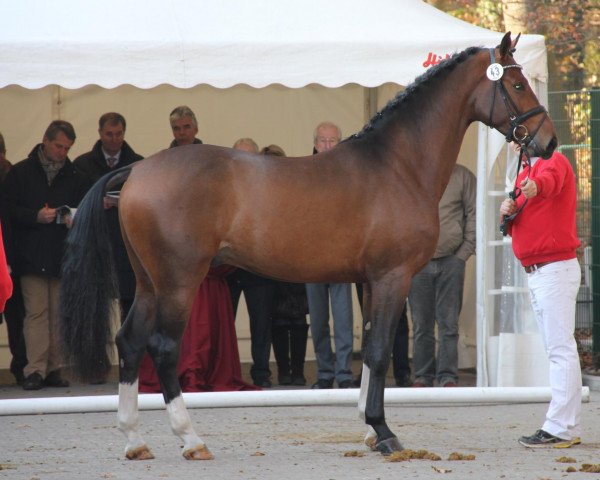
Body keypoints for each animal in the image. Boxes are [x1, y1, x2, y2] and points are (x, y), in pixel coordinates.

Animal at [58, 33, 556, 462]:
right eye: (516, 83)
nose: (548, 142)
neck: (397, 165)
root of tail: (137, 171)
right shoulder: (392, 277)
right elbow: (379, 351)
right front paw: (384, 432)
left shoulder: (369, 282)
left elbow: (370, 348)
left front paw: (367, 428)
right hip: (179, 282)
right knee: (162, 347)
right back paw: (191, 439)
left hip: (148, 283)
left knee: (129, 342)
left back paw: (134, 440)